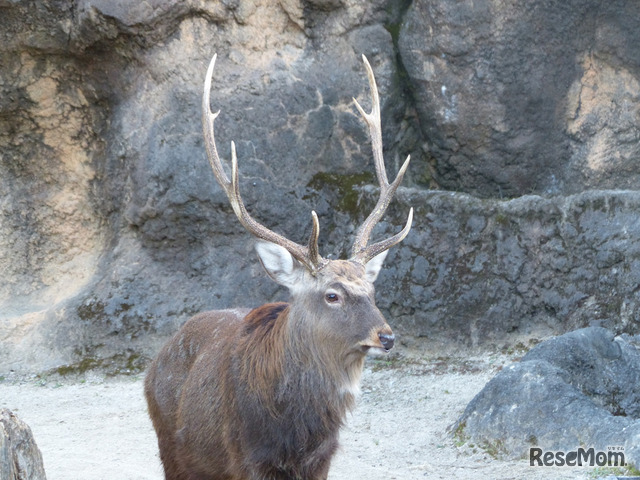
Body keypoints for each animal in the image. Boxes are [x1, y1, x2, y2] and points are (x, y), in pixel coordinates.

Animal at [144, 53, 416, 480]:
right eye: (332, 295)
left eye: (372, 290)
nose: (386, 336)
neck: (296, 433)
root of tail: (153, 364)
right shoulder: (247, 456)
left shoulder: (323, 459)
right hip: (172, 449)